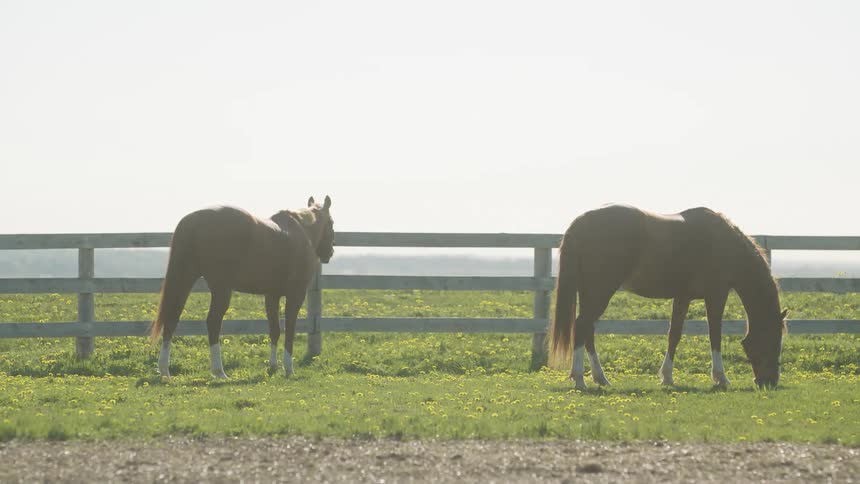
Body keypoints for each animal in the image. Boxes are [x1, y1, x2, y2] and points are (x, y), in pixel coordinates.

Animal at [149, 196, 335, 379]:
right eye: (331, 222)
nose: (330, 253)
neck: (301, 231)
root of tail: (192, 221)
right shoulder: (296, 294)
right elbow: (289, 329)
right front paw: (288, 368)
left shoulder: (272, 295)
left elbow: (275, 330)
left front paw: (273, 366)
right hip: (220, 289)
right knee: (213, 322)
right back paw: (219, 371)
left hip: (185, 278)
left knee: (172, 318)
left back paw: (164, 370)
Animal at [548, 204, 787, 390]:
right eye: (775, 338)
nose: (769, 381)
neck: (725, 245)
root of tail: (581, 223)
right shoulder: (716, 295)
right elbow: (715, 335)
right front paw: (721, 378)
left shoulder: (683, 296)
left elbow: (674, 334)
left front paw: (667, 377)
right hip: (600, 290)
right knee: (582, 326)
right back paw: (580, 380)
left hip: (591, 292)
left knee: (587, 329)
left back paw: (600, 378)